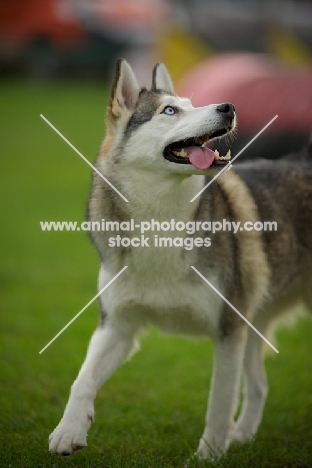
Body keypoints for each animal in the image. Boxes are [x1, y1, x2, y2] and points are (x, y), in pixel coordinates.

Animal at [48, 58, 312, 460]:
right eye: (170, 110)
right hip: (253, 323)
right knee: (260, 386)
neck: (161, 223)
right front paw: (68, 431)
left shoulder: (228, 331)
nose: (228, 107)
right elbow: (83, 378)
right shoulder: (117, 326)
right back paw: (243, 436)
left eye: (193, 102)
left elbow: (219, 400)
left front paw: (209, 456)